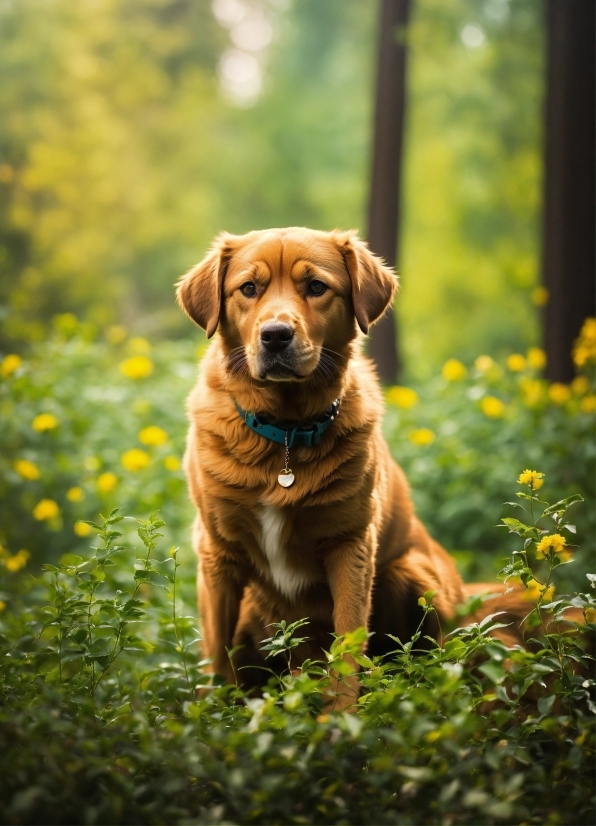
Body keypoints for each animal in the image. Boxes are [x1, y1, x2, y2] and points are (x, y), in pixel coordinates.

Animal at [178, 225, 520, 708]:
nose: (276, 335)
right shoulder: (217, 552)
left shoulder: (350, 546)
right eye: (248, 289)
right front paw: (216, 713)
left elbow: (348, 642)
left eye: (316, 287)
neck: (285, 435)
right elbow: (216, 650)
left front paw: (341, 715)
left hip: (415, 575)